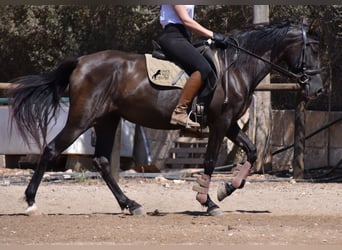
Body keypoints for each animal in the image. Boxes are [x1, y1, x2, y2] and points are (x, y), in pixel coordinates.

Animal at [8, 20, 324, 216]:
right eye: (312, 49)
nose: (318, 89)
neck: (236, 66)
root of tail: (81, 62)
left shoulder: (231, 123)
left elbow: (253, 150)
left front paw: (226, 189)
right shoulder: (220, 123)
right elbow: (210, 161)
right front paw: (207, 201)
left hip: (108, 119)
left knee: (101, 161)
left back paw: (131, 204)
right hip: (82, 118)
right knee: (51, 149)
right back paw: (31, 202)